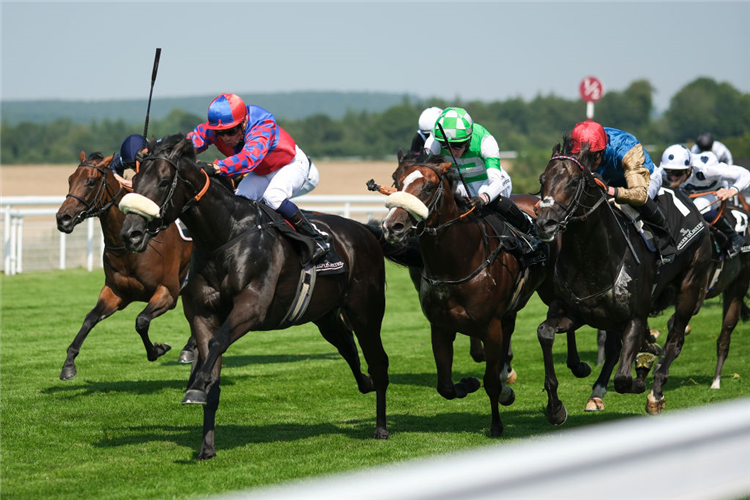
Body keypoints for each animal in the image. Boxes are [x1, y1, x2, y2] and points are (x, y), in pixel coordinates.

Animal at [56, 150, 194, 380]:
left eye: (91, 181)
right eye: (69, 179)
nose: (62, 218)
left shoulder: (168, 293)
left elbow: (141, 321)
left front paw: (157, 350)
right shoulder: (116, 293)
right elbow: (90, 319)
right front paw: (68, 363)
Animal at [120, 134, 396, 460]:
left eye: (163, 182)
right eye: (134, 180)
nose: (131, 234)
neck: (226, 237)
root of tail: (365, 231)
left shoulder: (251, 307)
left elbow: (217, 344)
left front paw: (195, 386)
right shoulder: (202, 314)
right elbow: (211, 370)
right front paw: (206, 445)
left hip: (366, 311)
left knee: (379, 361)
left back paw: (381, 427)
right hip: (325, 316)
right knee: (348, 348)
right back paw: (365, 384)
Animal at [378, 153, 580, 438]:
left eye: (428, 187)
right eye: (396, 181)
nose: (393, 226)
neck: (457, 262)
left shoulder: (489, 327)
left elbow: (490, 381)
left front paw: (496, 424)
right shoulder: (440, 327)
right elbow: (445, 386)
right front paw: (469, 384)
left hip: (552, 286)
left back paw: (576, 365)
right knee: (511, 329)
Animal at [536, 139, 712, 416]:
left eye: (574, 182)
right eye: (543, 179)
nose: (545, 224)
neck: (593, 260)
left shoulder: (635, 317)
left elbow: (623, 379)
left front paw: (642, 371)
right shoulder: (576, 313)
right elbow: (545, 332)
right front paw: (555, 406)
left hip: (691, 287)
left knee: (675, 340)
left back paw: (656, 391)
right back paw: (598, 393)